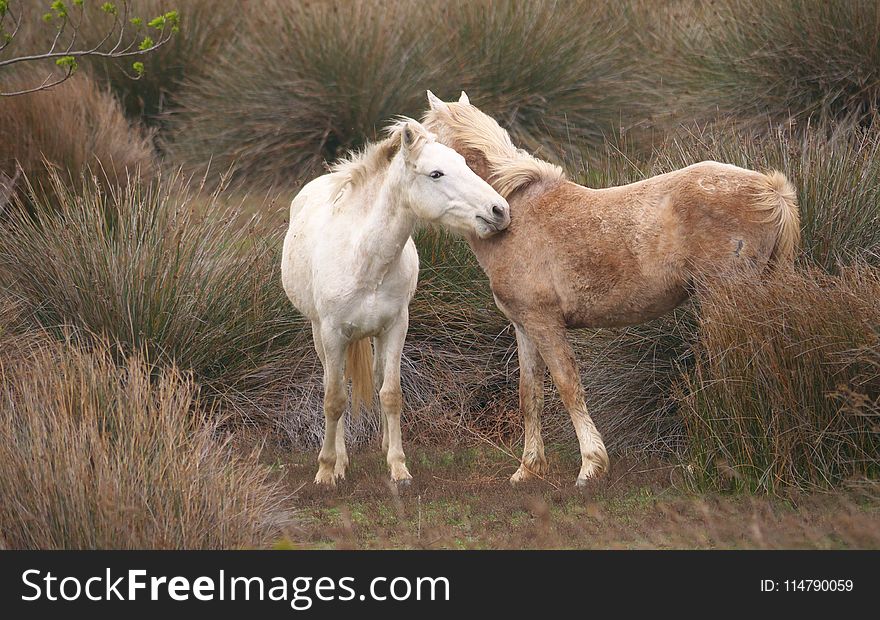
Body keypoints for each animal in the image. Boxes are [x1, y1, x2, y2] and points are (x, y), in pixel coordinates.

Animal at [282, 117, 508, 484]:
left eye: (463, 163)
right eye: (436, 173)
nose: (499, 210)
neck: (365, 257)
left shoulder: (396, 327)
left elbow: (391, 394)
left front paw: (398, 466)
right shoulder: (332, 333)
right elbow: (334, 399)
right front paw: (327, 469)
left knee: (376, 379)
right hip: (320, 334)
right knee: (335, 383)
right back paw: (340, 460)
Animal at [422, 92, 800, 486]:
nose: (497, 213)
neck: (516, 212)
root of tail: (770, 189)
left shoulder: (545, 323)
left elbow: (568, 386)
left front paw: (591, 466)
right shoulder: (524, 327)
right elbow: (530, 394)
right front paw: (528, 469)